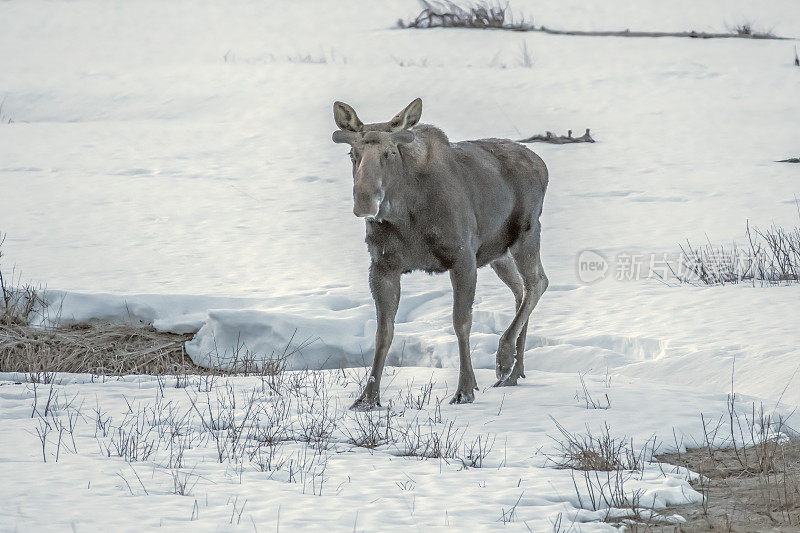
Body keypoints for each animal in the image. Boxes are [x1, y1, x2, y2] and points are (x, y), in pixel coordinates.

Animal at [332, 98, 552, 408]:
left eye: (389, 153)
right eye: (353, 153)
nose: (365, 201)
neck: (406, 214)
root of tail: (542, 165)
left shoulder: (462, 257)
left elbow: (461, 323)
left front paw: (465, 389)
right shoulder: (382, 265)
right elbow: (383, 332)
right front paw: (368, 398)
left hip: (527, 233)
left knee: (538, 282)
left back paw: (504, 359)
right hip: (498, 253)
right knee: (520, 289)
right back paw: (514, 371)